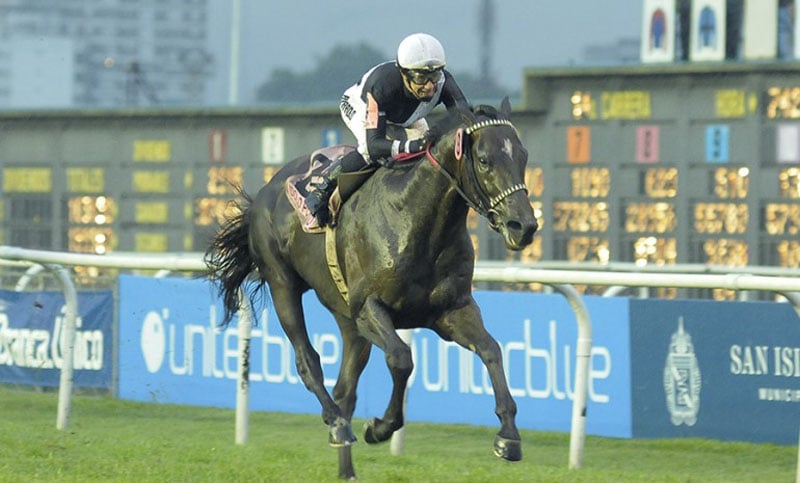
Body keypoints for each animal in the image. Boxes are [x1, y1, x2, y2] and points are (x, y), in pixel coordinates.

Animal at [206, 98, 540, 480]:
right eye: (484, 159)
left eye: (523, 156)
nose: (523, 225)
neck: (417, 221)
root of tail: (263, 194)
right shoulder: (369, 309)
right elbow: (401, 358)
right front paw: (380, 427)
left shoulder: (452, 311)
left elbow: (491, 350)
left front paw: (508, 436)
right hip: (283, 284)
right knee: (309, 362)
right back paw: (337, 424)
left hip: (346, 318)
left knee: (345, 389)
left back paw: (346, 465)